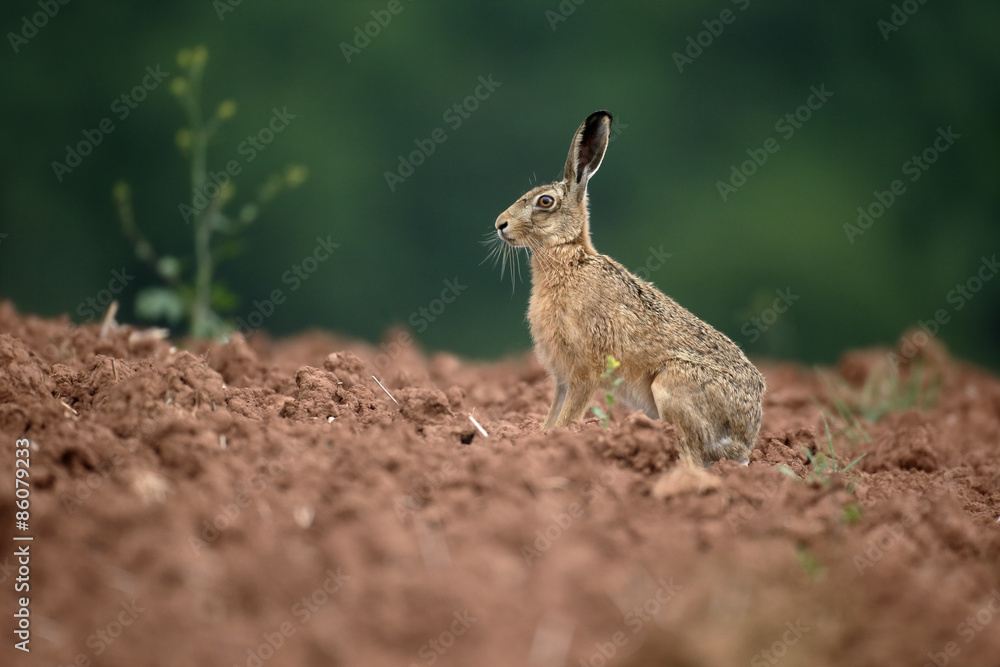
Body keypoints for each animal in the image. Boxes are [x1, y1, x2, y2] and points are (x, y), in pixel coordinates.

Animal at [493, 110, 765, 466]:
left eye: (545, 201)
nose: (500, 224)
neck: (570, 258)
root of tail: (745, 441)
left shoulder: (585, 371)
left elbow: (566, 418)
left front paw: (555, 442)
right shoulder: (562, 377)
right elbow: (552, 415)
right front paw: (537, 438)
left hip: (671, 384)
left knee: (692, 456)